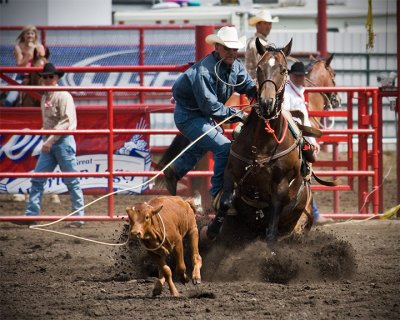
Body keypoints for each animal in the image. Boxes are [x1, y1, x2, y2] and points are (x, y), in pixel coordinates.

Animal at [220, 38, 314, 242]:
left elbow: (272, 227)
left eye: (283, 70)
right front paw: (213, 230)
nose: (266, 103)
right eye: (259, 68)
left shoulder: (280, 187)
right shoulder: (231, 172)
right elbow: (225, 201)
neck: (262, 144)